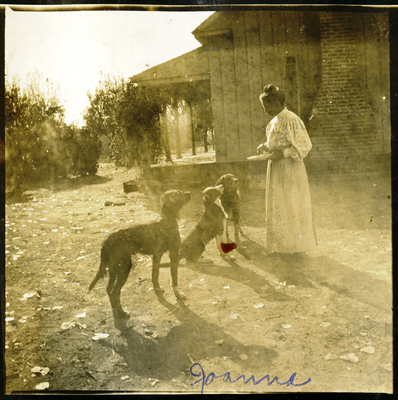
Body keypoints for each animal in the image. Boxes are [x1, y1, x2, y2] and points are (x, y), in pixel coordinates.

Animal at [89, 191, 191, 328]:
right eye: (179, 193)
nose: (189, 193)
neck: (167, 220)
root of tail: (105, 240)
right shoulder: (173, 255)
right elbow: (174, 279)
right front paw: (178, 295)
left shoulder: (157, 255)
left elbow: (155, 275)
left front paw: (158, 288)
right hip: (124, 267)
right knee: (115, 291)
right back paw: (122, 313)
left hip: (114, 268)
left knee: (109, 290)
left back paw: (116, 312)